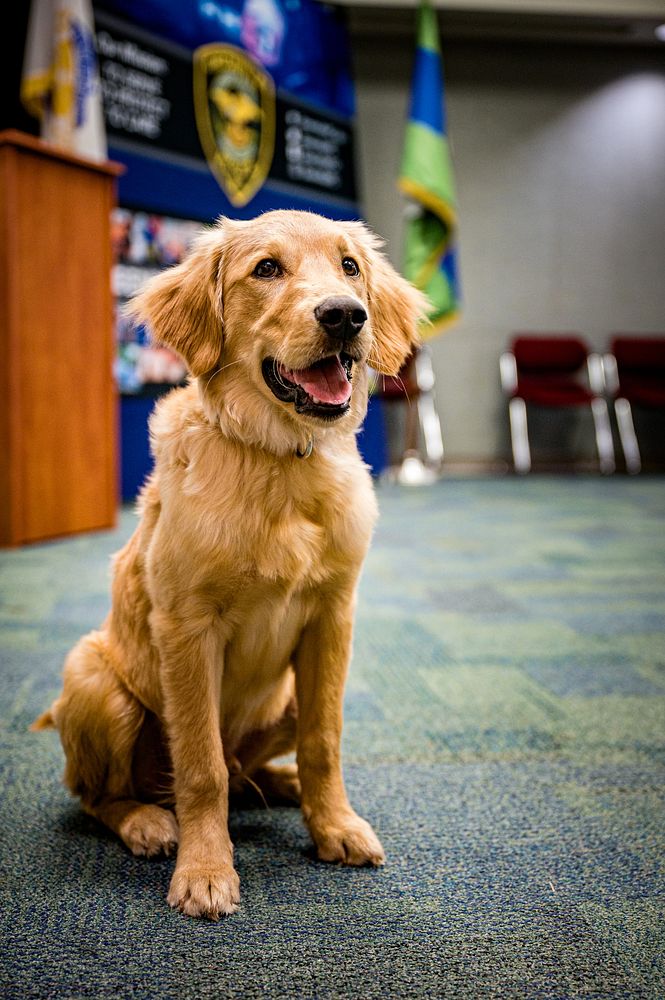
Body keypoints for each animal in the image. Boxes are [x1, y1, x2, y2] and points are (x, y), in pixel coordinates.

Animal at [32, 211, 426, 920]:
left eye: (350, 266)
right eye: (266, 269)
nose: (346, 316)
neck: (280, 461)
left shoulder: (333, 617)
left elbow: (325, 740)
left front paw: (334, 825)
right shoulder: (188, 628)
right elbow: (201, 765)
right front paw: (206, 870)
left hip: (286, 695)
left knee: (250, 769)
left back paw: (284, 785)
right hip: (95, 683)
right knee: (100, 794)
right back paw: (147, 821)